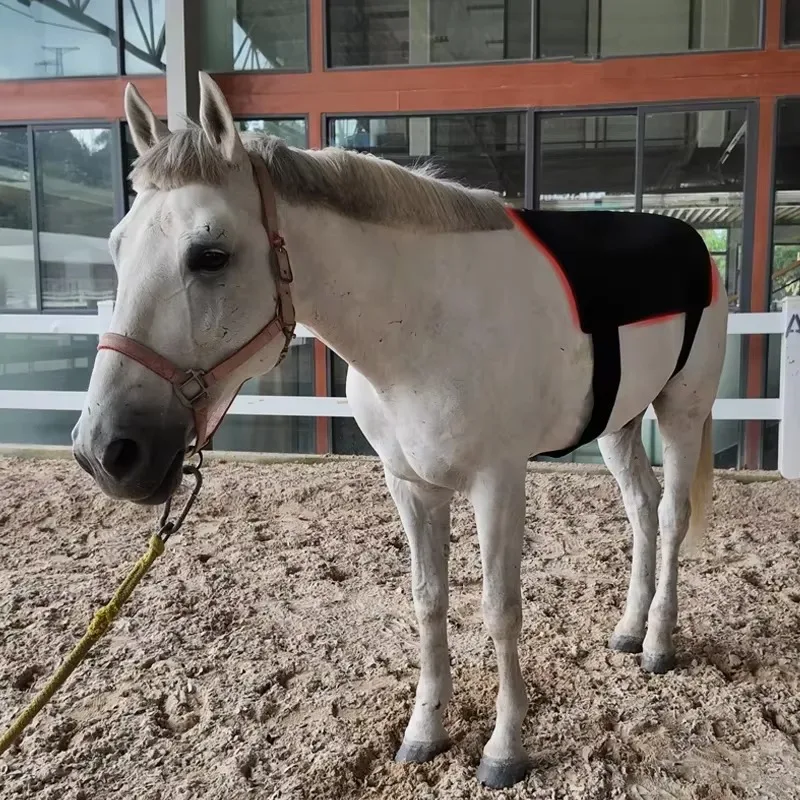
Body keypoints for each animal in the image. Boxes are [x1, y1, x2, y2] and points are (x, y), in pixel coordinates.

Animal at [71, 72, 727, 789]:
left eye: (209, 256)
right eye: (115, 247)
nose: (106, 451)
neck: (426, 322)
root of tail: (698, 251)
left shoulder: (498, 483)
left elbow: (500, 609)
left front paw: (504, 749)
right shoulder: (410, 484)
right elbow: (428, 600)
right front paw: (426, 731)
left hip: (681, 411)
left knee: (670, 516)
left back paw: (658, 644)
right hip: (619, 423)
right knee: (640, 509)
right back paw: (629, 630)